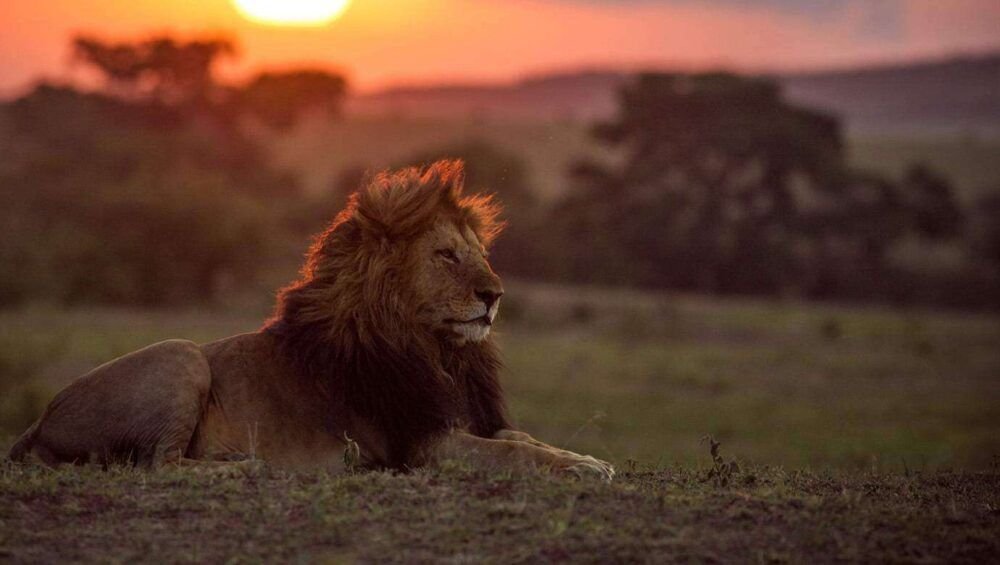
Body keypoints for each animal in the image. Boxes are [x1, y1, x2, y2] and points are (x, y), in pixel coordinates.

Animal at [9, 160, 608, 480]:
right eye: (445, 256)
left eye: (479, 253)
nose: (495, 295)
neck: (438, 351)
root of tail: (37, 422)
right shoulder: (422, 446)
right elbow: (510, 450)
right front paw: (580, 469)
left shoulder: (464, 419)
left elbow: (522, 437)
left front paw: (586, 459)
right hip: (180, 354)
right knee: (158, 464)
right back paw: (249, 466)